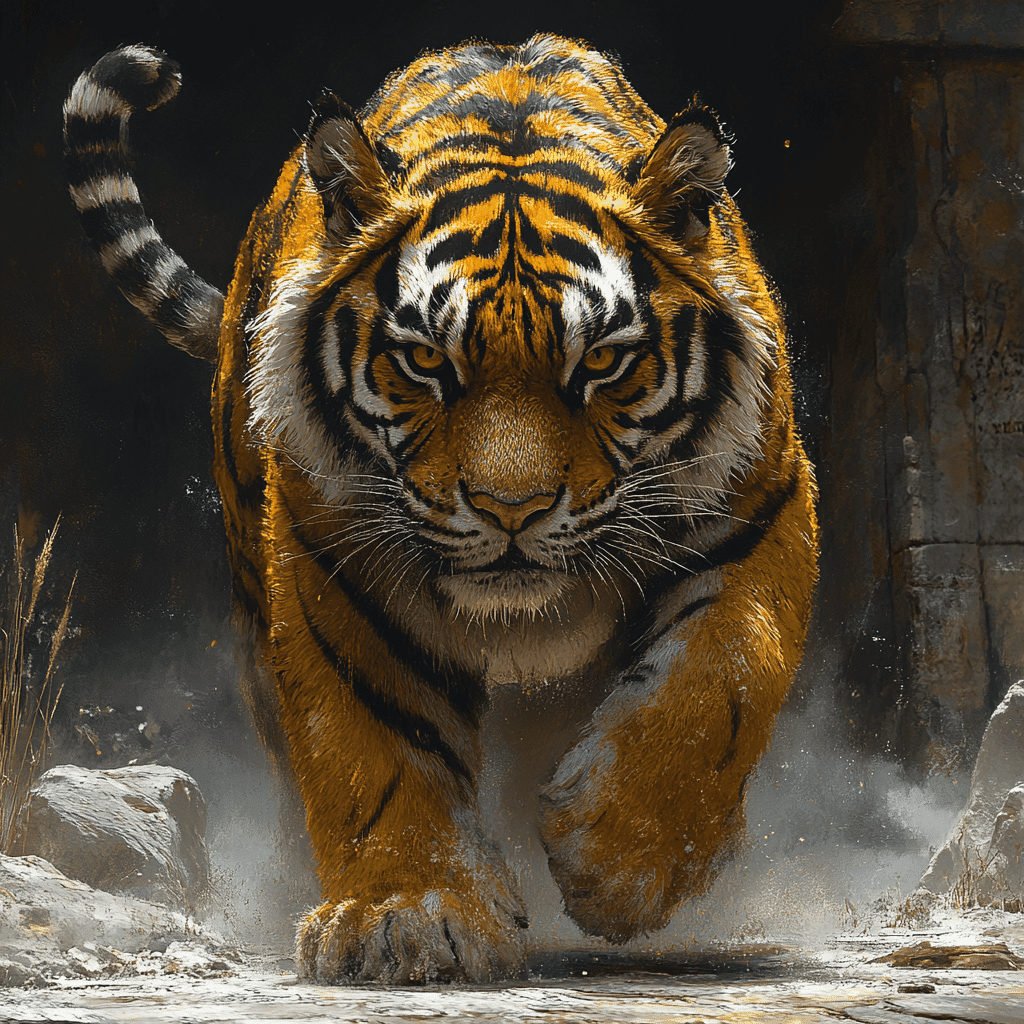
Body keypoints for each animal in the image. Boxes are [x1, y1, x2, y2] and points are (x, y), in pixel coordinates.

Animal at [64, 35, 818, 984]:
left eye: (600, 364)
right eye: (425, 362)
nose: (511, 510)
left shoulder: (760, 506)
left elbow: (721, 676)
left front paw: (619, 863)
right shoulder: (336, 559)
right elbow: (378, 742)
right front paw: (406, 915)